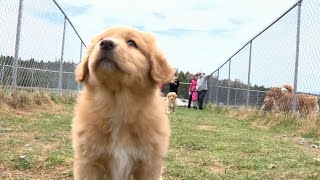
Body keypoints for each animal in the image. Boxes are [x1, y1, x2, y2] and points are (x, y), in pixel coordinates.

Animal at [72, 26, 175, 179]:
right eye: (101, 39)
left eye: (132, 43)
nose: (106, 43)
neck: (118, 106)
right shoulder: (88, 163)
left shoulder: (149, 166)